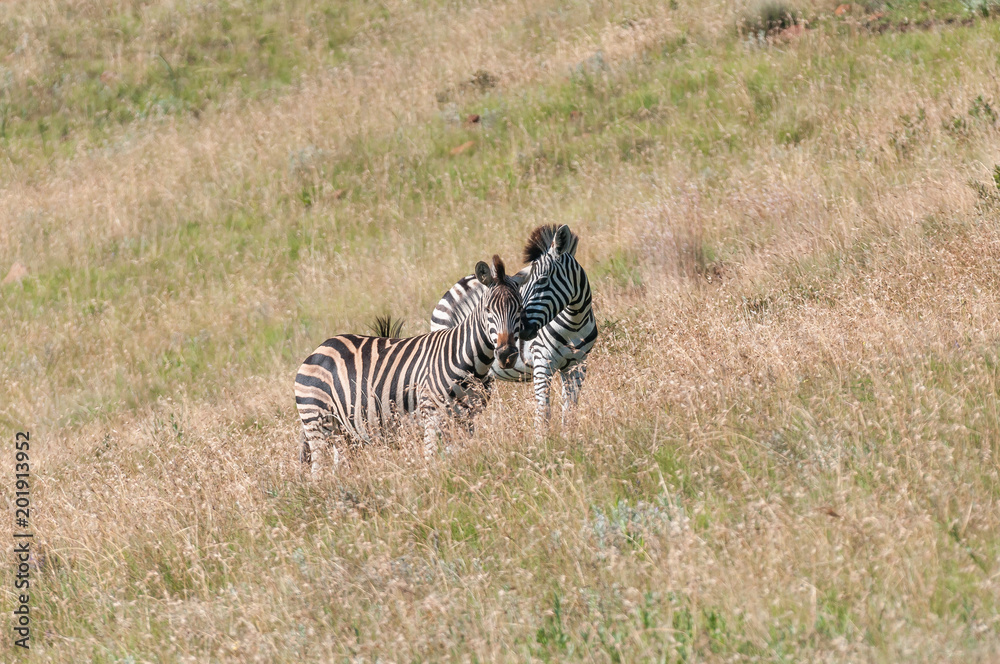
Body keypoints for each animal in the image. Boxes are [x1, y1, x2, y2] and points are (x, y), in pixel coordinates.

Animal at [294, 255, 530, 474]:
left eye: (520, 308)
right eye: (488, 309)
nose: (507, 354)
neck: (466, 359)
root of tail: (319, 350)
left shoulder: (467, 419)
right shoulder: (432, 416)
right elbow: (431, 458)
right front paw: (435, 483)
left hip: (343, 433)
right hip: (317, 422)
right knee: (318, 471)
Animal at [430, 224, 597, 429]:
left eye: (542, 280)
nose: (522, 329)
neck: (574, 324)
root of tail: (459, 284)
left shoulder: (577, 366)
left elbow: (570, 411)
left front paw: (569, 436)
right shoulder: (542, 363)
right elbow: (543, 413)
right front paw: (543, 438)